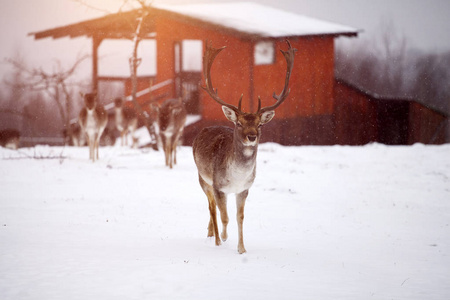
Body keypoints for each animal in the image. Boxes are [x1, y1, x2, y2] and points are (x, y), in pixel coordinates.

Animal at [192, 39, 296, 253]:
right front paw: (223, 238)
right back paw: (214, 237)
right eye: (239, 123)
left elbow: (240, 218)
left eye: (260, 124)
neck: (237, 177)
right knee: (211, 208)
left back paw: (210, 232)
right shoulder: (218, 186)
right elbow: (224, 217)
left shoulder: (244, 189)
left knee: (213, 210)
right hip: (202, 178)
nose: (251, 136)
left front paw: (242, 249)